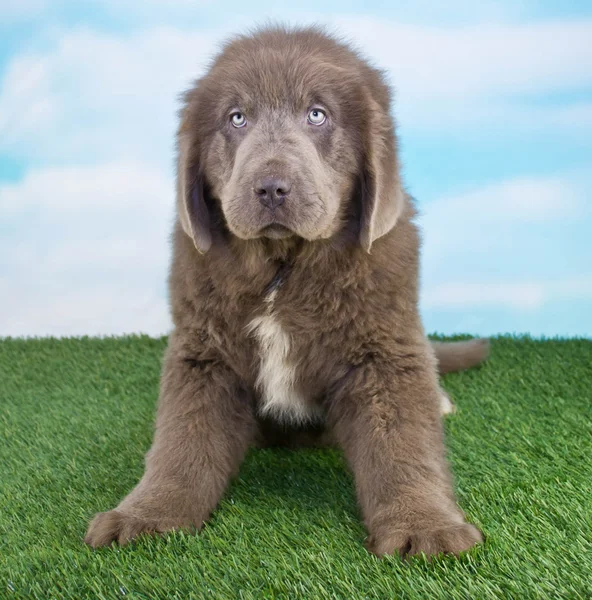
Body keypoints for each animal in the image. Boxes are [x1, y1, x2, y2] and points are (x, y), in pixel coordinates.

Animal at [85, 23, 488, 556]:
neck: (282, 266)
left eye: (317, 114)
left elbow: (402, 441)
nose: (272, 187)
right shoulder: (203, 351)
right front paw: (146, 515)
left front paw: (425, 526)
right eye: (236, 117)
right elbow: (182, 442)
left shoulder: (384, 347)